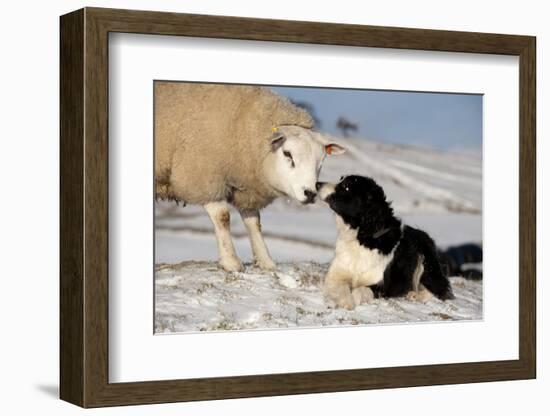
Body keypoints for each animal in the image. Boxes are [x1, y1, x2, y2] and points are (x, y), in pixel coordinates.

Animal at [155, 82, 344, 272]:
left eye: (321, 160)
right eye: (287, 154)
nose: (310, 193)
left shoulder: (247, 190)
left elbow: (254, 223)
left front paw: (265, 260)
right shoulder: (204, 177)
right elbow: (223, 217)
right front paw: (231, 261)